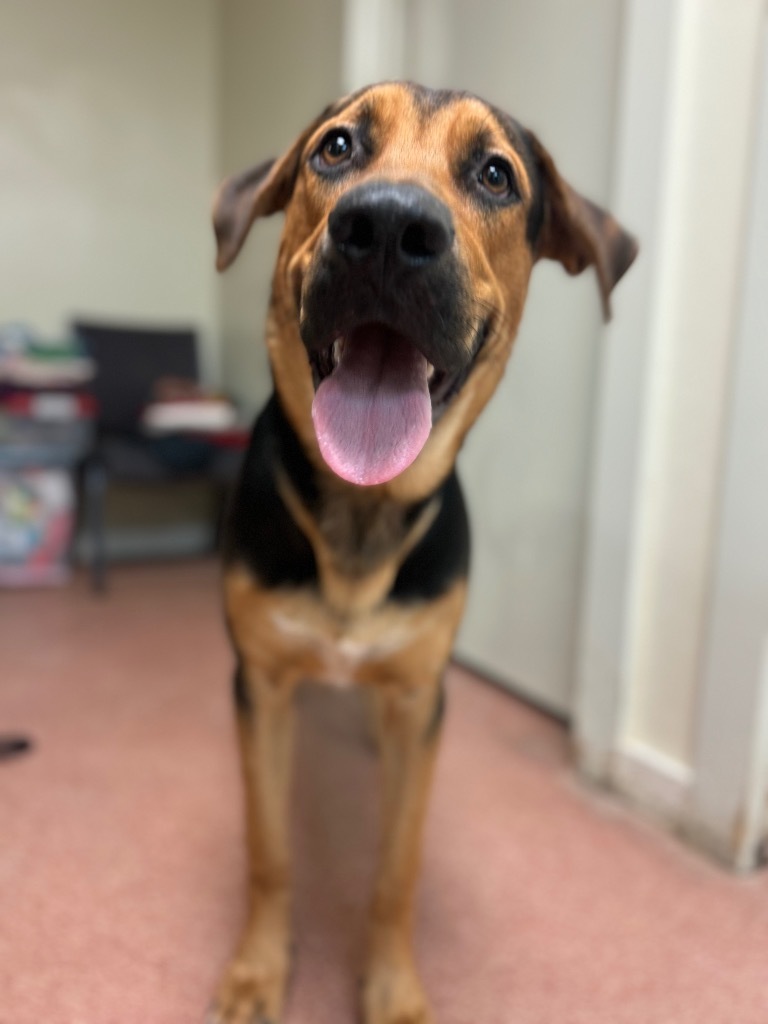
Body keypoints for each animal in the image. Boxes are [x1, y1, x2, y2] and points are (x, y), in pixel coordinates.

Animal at [208, 81, 638, 1024]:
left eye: (495, 174)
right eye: (335, 148)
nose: (388, 226)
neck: (362, 515)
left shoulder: (420, 700)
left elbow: (397, 867)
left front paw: (393, 986)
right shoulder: (261, 684)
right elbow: (267, 847)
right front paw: (257, 970)